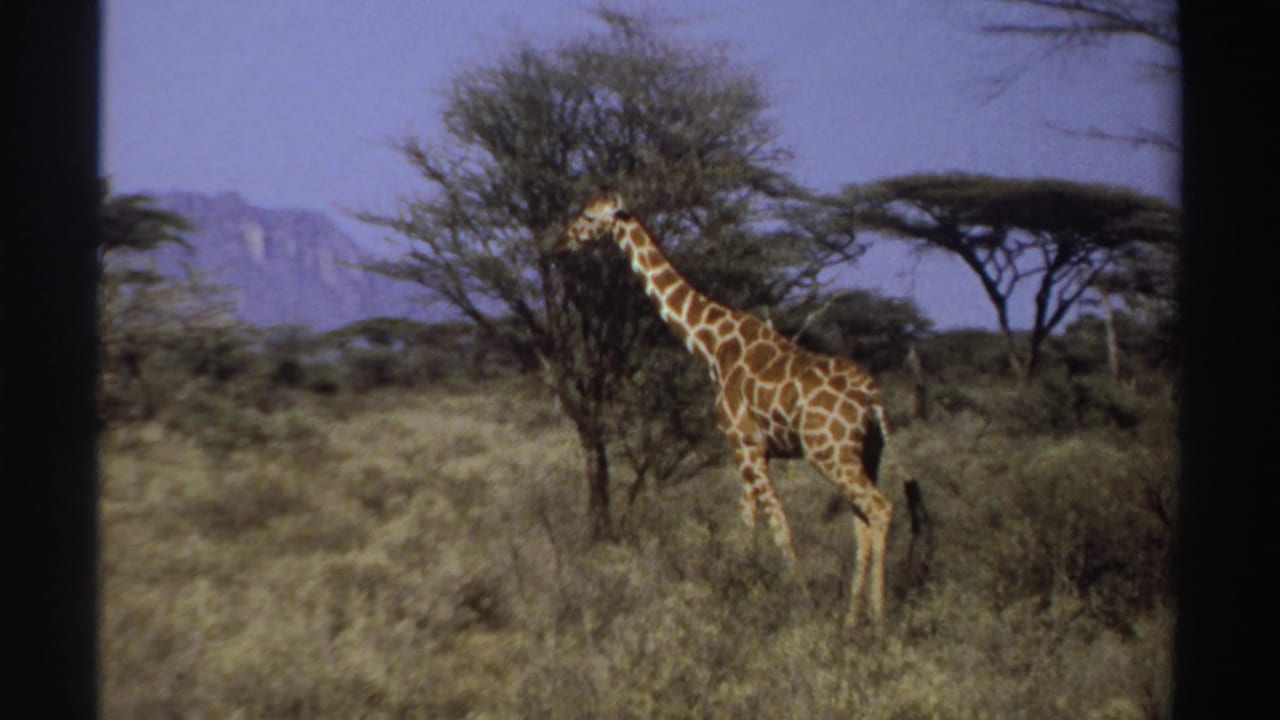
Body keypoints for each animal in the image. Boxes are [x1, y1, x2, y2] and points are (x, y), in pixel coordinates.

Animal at [554, 192, 925, 625]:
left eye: (588, 215)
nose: (560, 242)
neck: (712, 345)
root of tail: (873, 396)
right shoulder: (748, 450)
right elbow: (749, 522)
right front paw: (745, 588)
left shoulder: (744, 443)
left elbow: (776, 524)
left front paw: (800, 602)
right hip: (867, 452)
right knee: (861, 521)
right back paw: (853, 618)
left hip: (829, 453)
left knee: (880, 508)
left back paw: (880, 617)